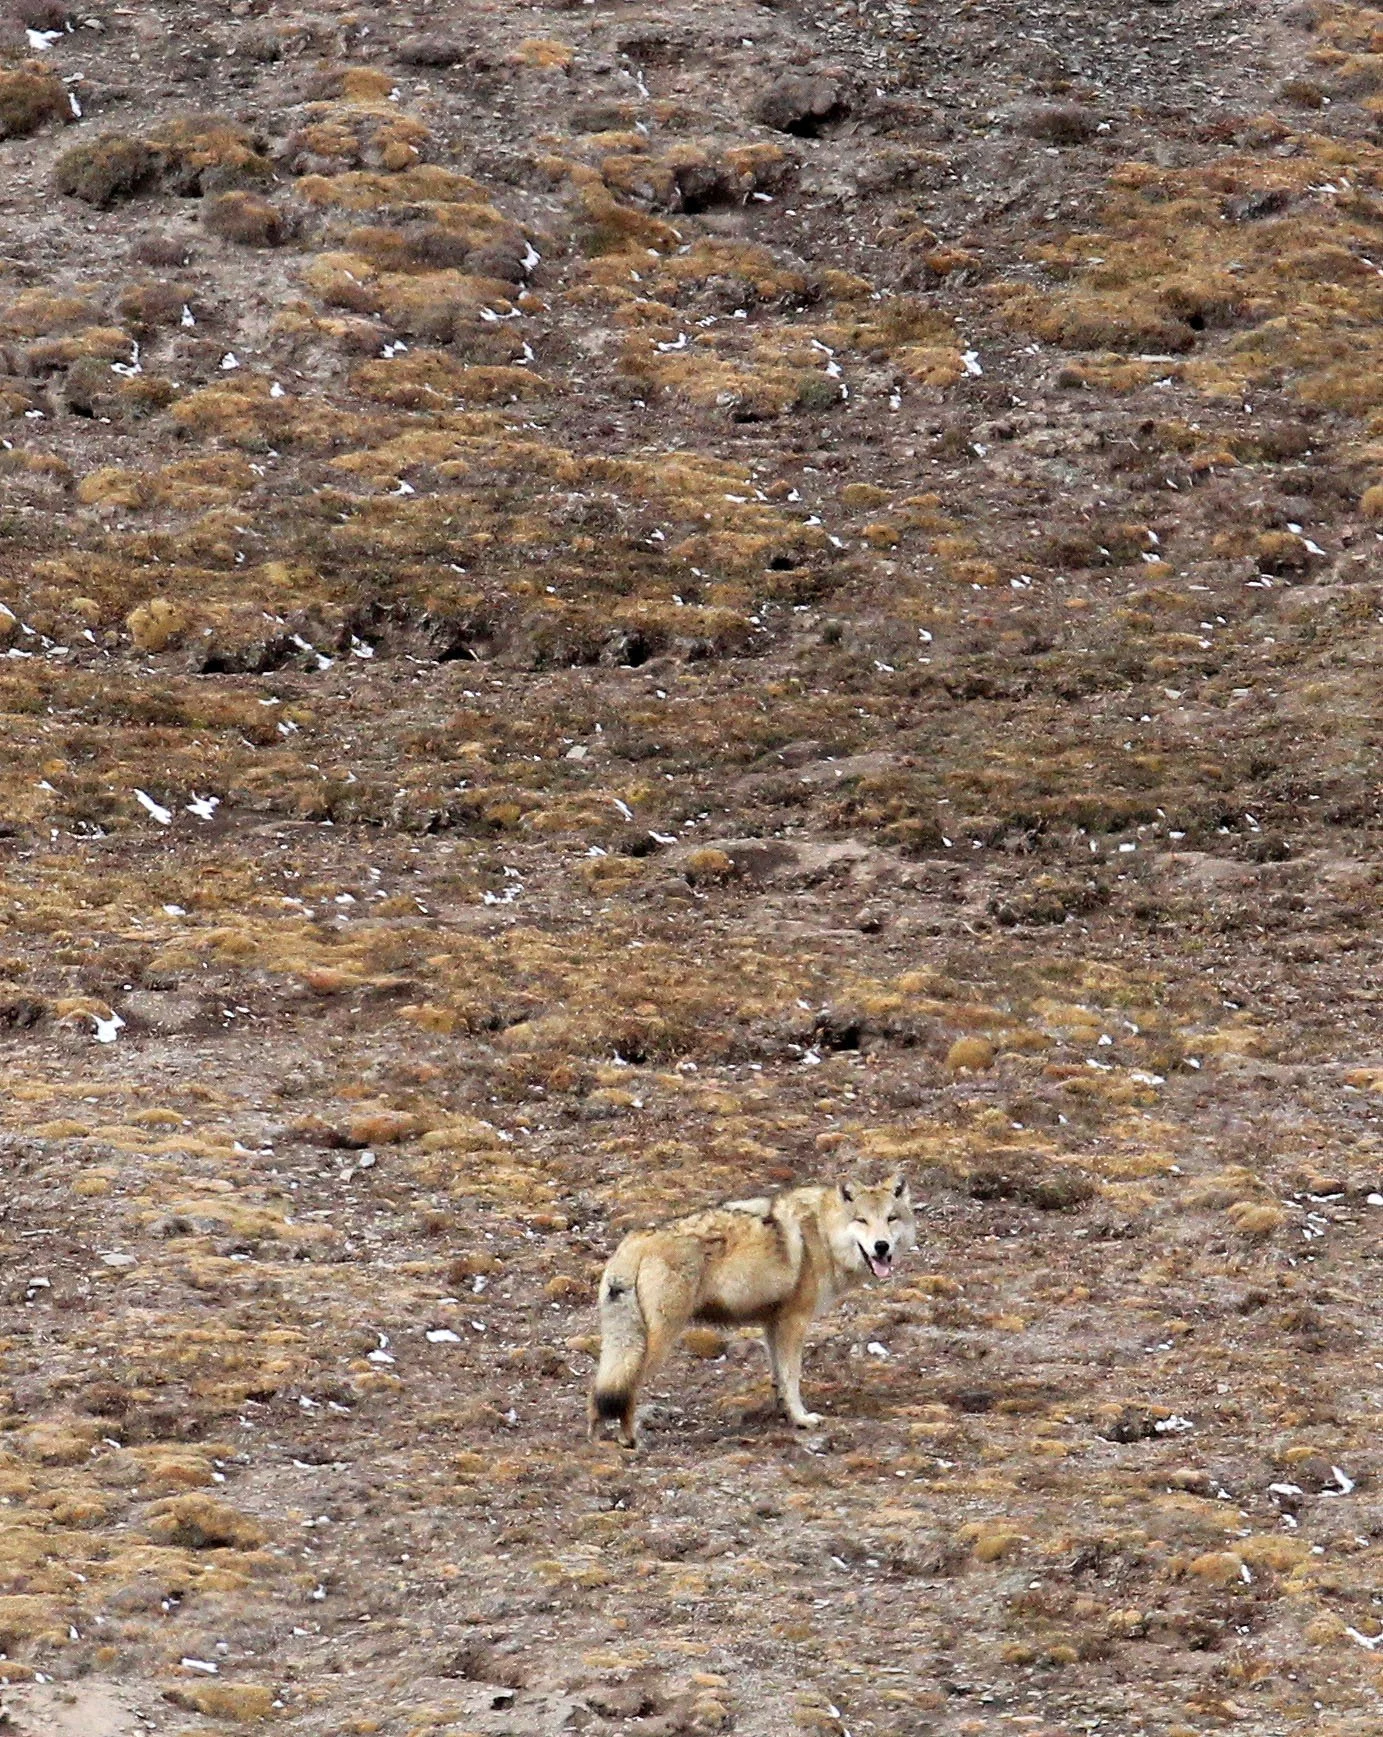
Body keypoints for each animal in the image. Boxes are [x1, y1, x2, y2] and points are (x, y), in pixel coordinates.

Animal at [588, 1173, 914, 1447]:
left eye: (891, 1218)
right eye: (861, 1220)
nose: (882, 1246)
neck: (821, 1234)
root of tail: (636, 1241)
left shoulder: (772, 1324)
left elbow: (779, 1378)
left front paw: (782, 1414)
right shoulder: (794, 1322)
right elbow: (792, 1377)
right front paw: (802, 1418)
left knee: (601, 1389)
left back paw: (597, 1438)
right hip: (658, 1343)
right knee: (626, 1389)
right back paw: (630, 1440)